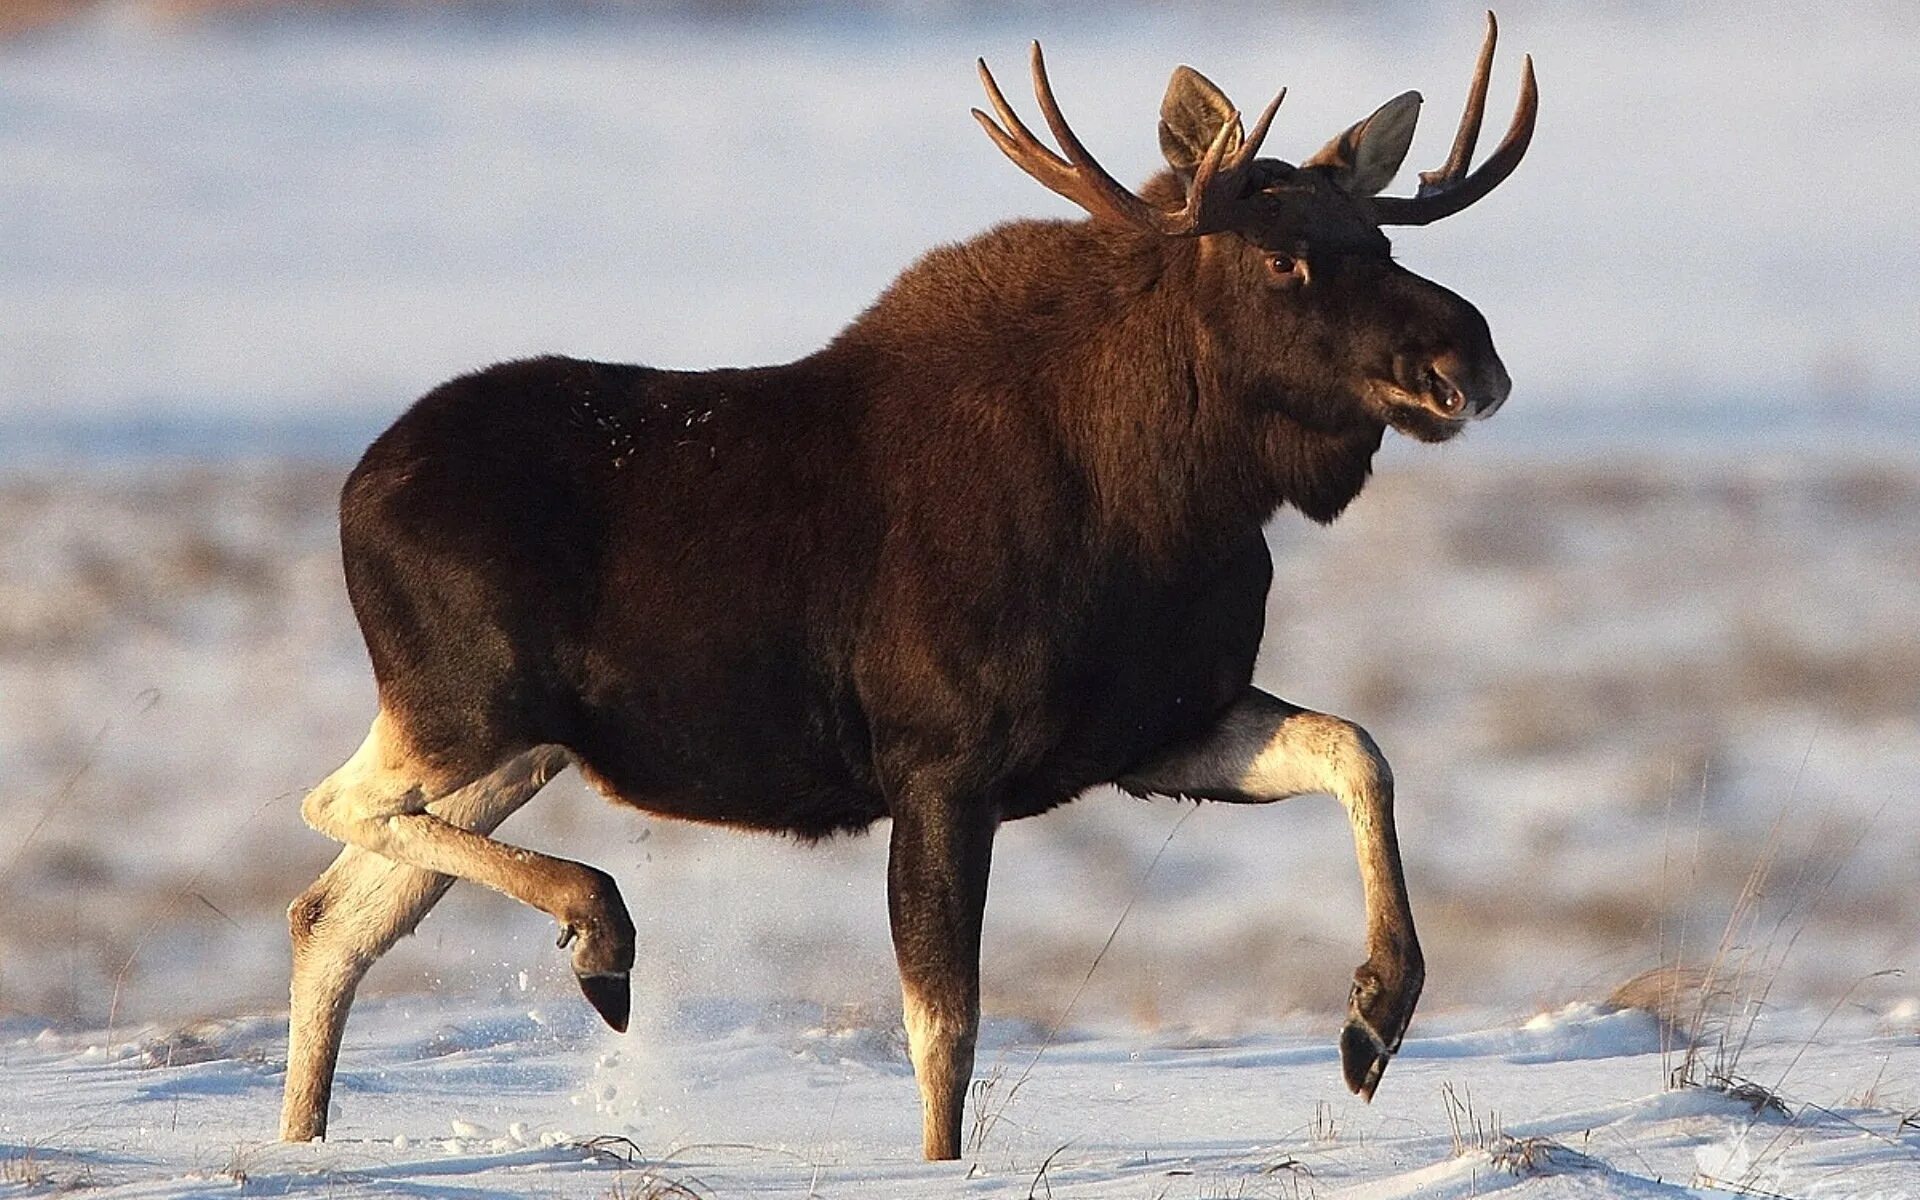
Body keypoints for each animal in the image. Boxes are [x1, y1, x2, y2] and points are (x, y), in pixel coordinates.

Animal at [278, 16, 1536, 1159]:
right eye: (1282, 258)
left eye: (1379, 238)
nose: (1467, 362)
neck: (1173, 507)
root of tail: (354, 488)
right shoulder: (940, 764)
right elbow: (945, 1033)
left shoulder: (1152, 732)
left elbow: (1358, 749)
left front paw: (1375, 1016)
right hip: (461, 707)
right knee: (333, 811)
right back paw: (599, 932)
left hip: (519, 747)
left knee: (334, 916)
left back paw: (311, 1135)